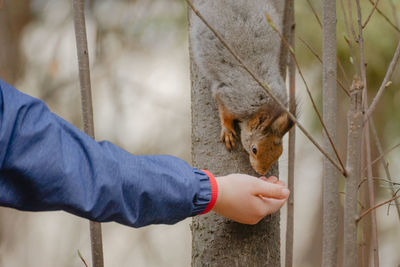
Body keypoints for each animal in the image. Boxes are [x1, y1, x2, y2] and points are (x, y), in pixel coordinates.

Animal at [191, 0, 294, 176]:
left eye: (279, 152)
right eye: (254, 149)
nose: (262, 172)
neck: (268, 105)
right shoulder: (229, 97)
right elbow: (224, 113)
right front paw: (227, 132)